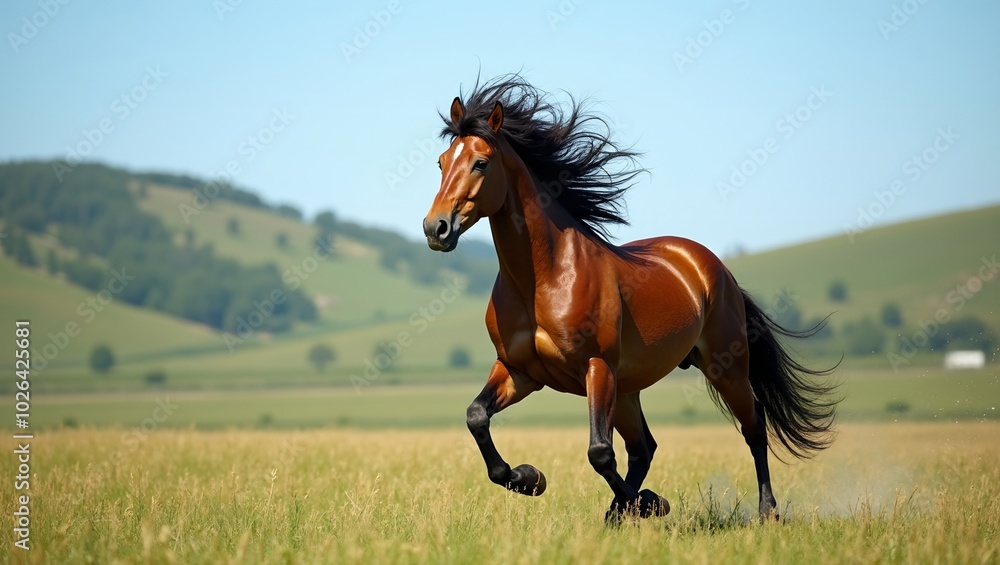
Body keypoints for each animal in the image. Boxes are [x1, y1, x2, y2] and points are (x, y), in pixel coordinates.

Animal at [421, 75, 838, 523]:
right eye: (441, 163)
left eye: (480, 163)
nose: (435, 228)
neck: (543, 278)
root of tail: (713, 267)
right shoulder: (519, 371)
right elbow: (477, 418)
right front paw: (529, 477)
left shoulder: (596, 366)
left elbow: (599, 454)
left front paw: (651, 502)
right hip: (627, 390)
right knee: (644, 448)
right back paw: (620, 511)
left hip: (724, 368)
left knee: (753, 426)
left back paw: (764, 511)